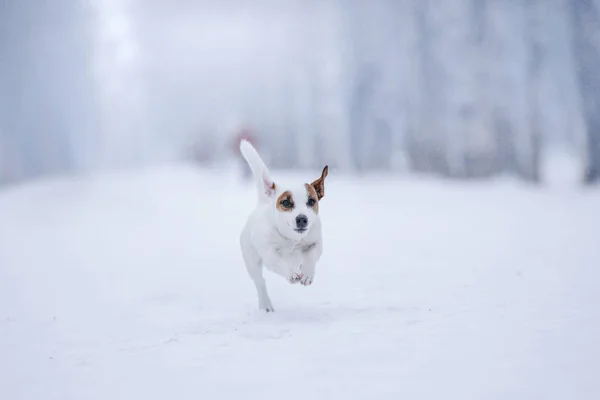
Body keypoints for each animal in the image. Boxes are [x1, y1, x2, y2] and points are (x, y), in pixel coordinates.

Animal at [238, 141, 328, 312]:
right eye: (286, 202)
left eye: (311, 201)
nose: (302, 219)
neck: (292, 239)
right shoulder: (269, 254)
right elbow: (279, 261)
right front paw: (292, 273)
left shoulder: (316, 243)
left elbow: (311, 256)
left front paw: (307, 274)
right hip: (252, 261)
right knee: (260, 282)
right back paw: (266, 305)